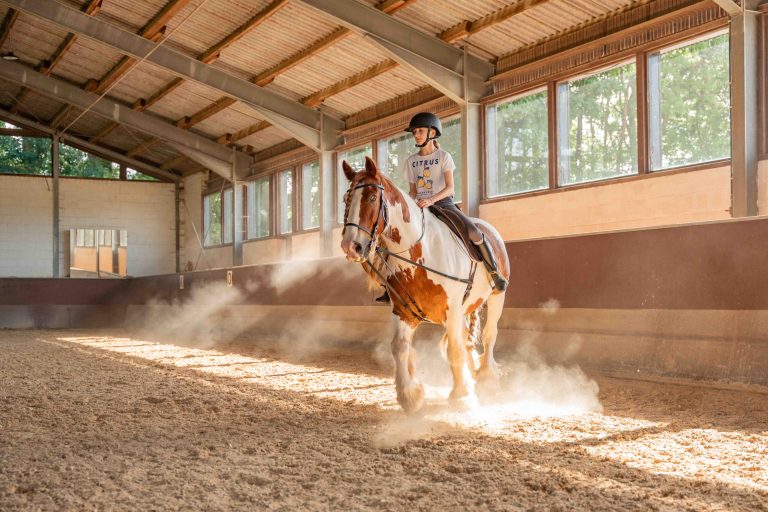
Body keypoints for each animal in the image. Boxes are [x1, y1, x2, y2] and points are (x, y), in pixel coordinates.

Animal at [340, 156, 510, 414]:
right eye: (346, 200)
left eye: (371, 198)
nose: (351, 246)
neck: (421, 251)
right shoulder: (404, 312)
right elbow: (400, 347)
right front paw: (411, 396)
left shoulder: (452, 310)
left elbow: (455, 350)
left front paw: (460, 396)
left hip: (495, 298)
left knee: (490, 334)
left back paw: (487, 379)